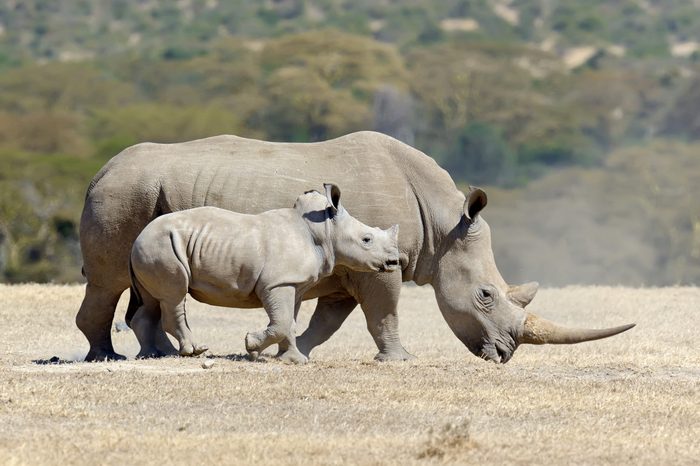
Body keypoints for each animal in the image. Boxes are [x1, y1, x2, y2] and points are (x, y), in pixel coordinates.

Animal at [128, 183, 396, 364]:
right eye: (366, 239)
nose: (393, 261)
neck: (326, 230)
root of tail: (137, 238)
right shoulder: (276, 283)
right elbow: (282, 322)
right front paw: (251, 345)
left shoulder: (293, 284)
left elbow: (289, 322)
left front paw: (293, 360)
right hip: (161, 245)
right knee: (174, 295)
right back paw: (194, 350)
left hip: (153, 247)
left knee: (154, 300)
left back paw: (156, 354)